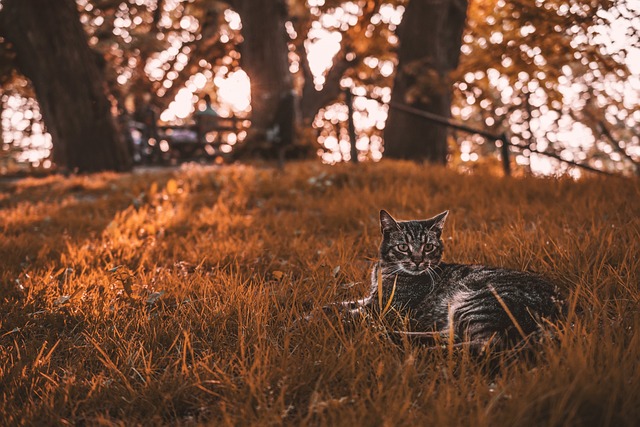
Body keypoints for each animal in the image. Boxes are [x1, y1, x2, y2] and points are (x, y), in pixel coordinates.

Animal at [338, 209, 564, 350]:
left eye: (428, 247)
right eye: (403, 247)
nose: (418, 261)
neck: (384, 269)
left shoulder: (383, 307)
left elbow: (345, 312)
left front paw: (335, 318)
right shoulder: (369, 300)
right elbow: (342, 304)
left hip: (474, 303)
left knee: (487, 344)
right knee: (450, 335)